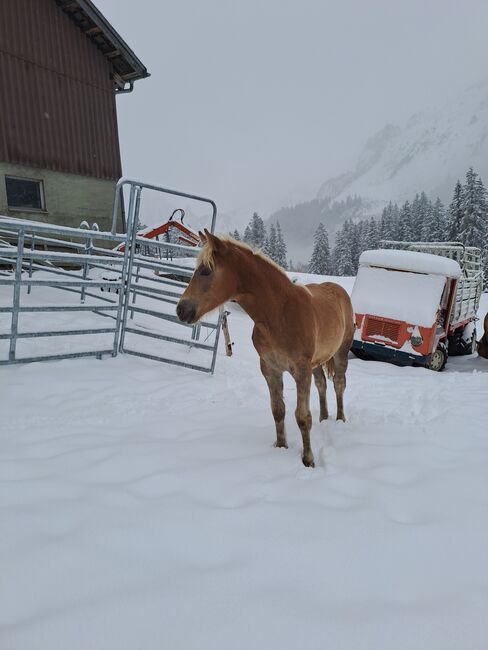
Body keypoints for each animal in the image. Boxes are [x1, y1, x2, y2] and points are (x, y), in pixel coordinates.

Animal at [177, 228, 352, 466]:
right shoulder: (270, 369)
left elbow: (302, 417)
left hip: (341, 352)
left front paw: (308, 460)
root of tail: (338, 290)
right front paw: (280, 447)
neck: (279, 313)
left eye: (206, 271)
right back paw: (324, 419)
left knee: (339, 384)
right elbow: (278, 410)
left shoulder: (301, 371)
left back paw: (340, 420)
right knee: (322, 384)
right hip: (318, 361)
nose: (180, 309)